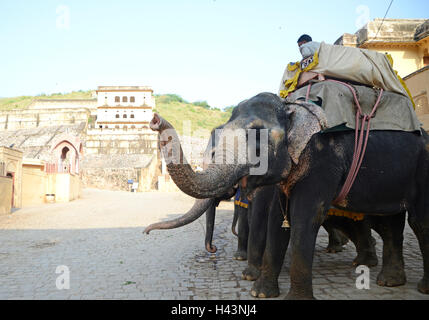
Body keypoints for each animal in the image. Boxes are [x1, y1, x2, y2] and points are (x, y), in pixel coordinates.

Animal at [150, 90, 428, 300]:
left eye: (257, 137)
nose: (154, 119)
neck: (292, 109)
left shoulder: (322, 161)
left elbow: (304, 216)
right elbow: (277, 218)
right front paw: (260, 292)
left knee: (418, 222)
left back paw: (414, 285)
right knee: (392, 222)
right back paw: (388, 281)